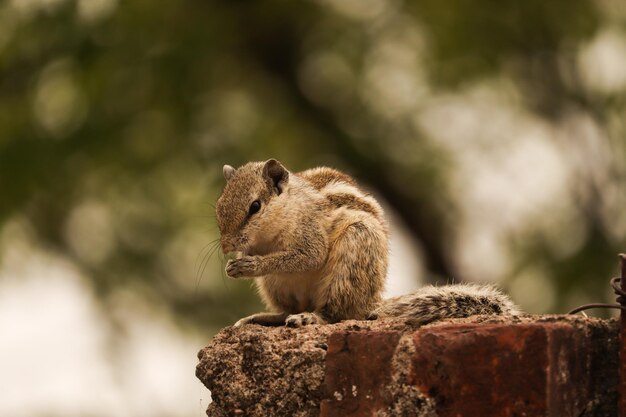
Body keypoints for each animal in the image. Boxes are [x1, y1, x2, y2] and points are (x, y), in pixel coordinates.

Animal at [214, 158, 516, 326]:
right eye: (218, 206)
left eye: (255, 206)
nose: (227, 247)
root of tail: (371, 302)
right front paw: (233, 266)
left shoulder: (310, 231)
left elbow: (309, 256)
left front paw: (251, 265)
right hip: (275, 286)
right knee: (290, 309)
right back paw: (266, 317)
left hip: (355, 248)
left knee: (336, 314)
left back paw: (311, 317)